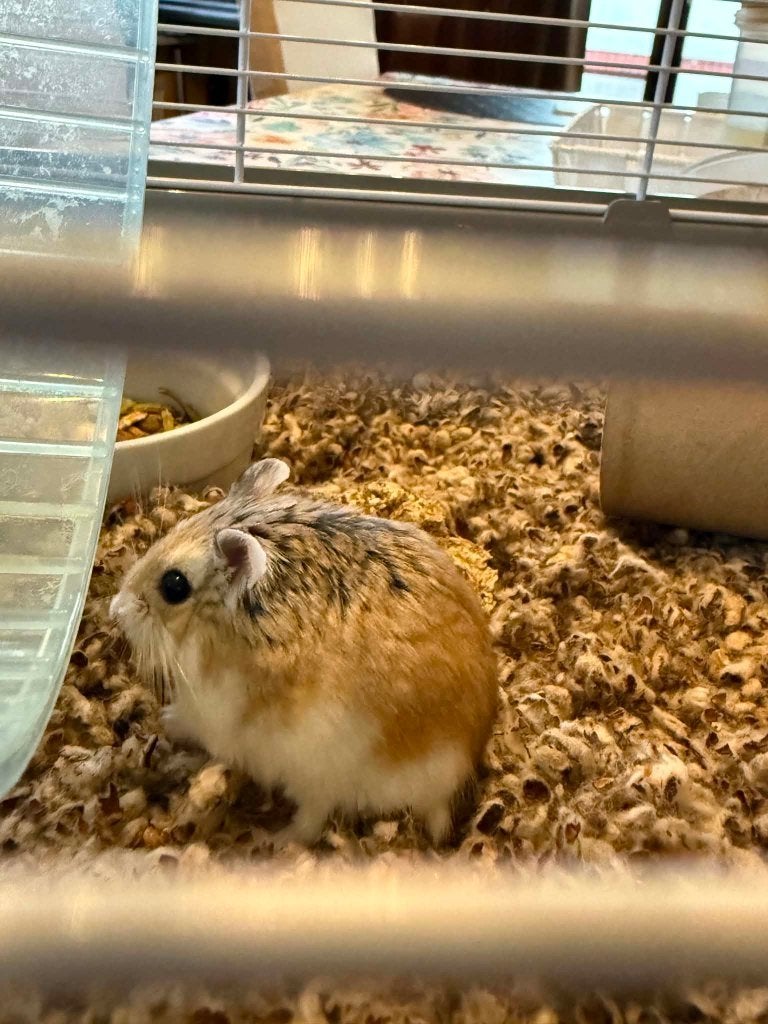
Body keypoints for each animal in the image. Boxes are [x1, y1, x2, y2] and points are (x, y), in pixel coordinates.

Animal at [110, 459, 498, 846]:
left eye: (173, 585)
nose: (115, 609)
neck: (229, 615)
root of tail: (451, 782)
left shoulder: (211, 710)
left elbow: (192, 723)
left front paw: (166, 719)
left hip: (318, 776)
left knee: (311, 823)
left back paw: (273, 839)